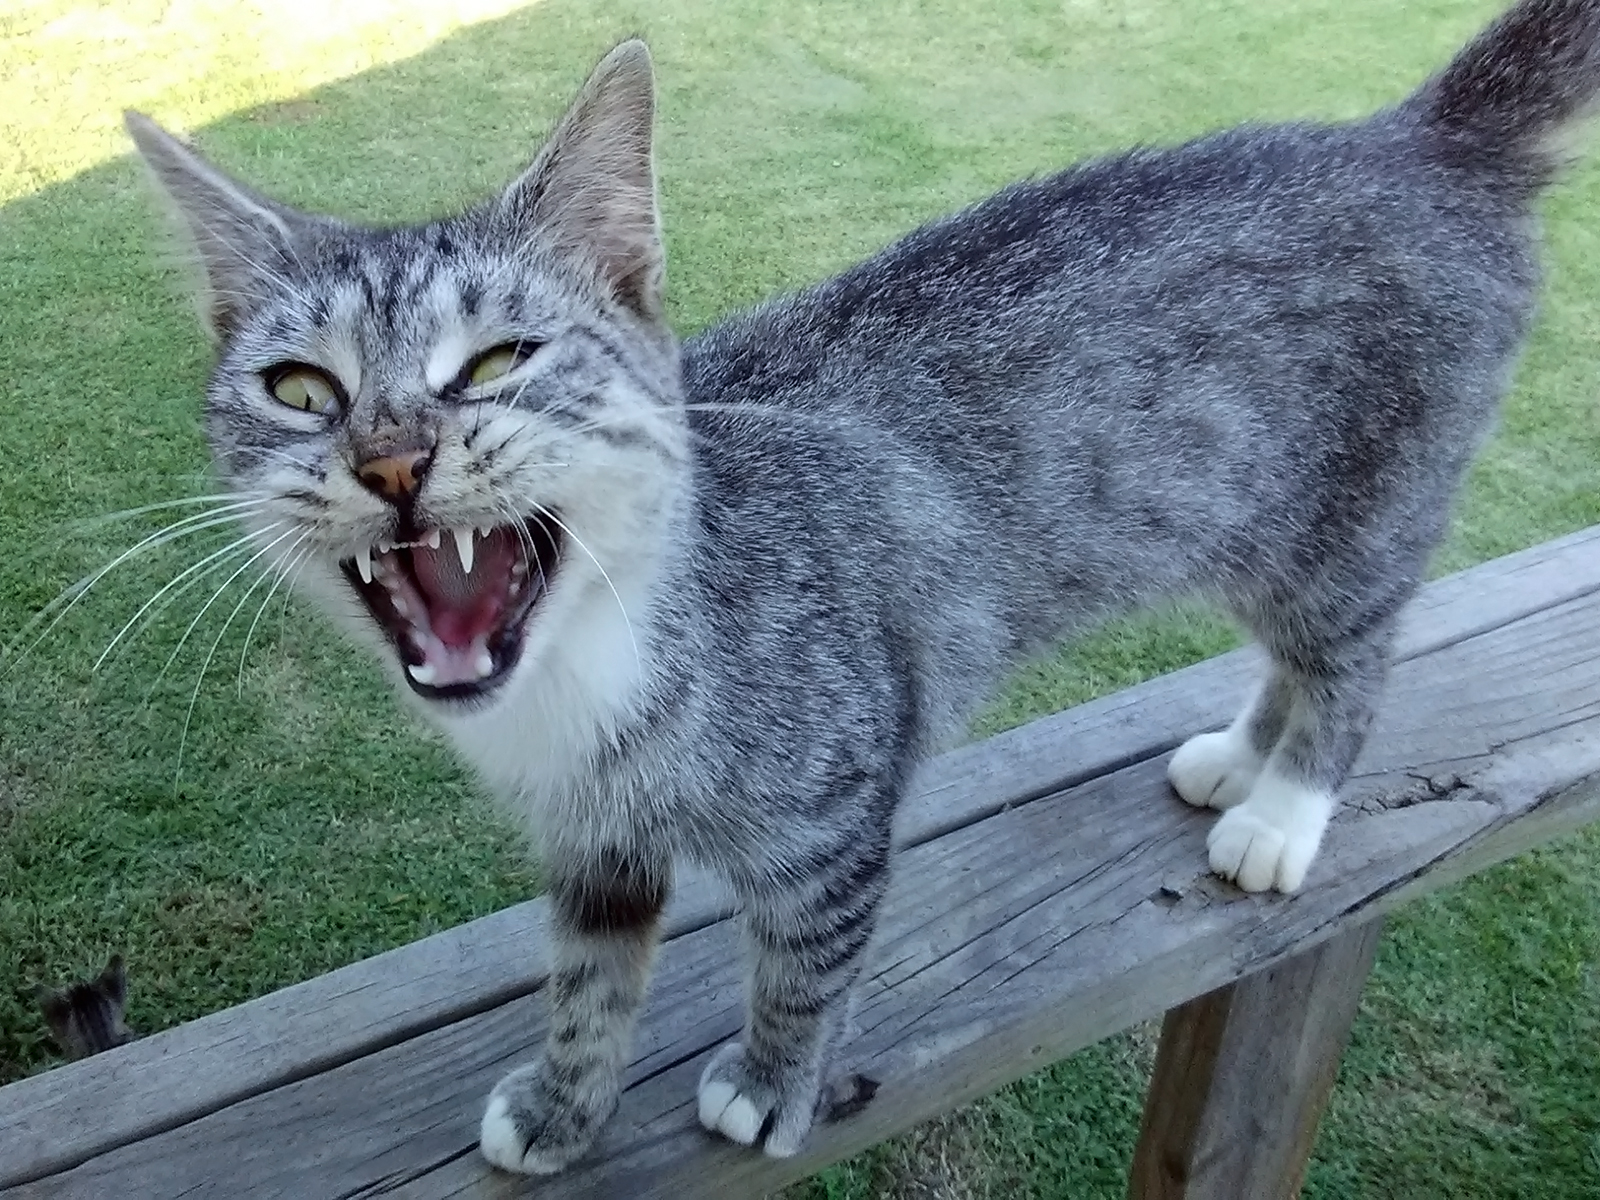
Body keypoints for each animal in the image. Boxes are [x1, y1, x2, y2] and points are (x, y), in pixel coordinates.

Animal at [121, 0, 1600, 1177]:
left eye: (493, 364)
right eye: (299, 389)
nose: (388, 456)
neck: (597, 661)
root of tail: (1412, 140)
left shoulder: (840, 789)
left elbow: (807, 955)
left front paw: (771, 1082)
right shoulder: (593, 839)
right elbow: (589, 972)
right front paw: (562, 1102)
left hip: (1354, 512)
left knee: (1347, 657)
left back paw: (1284, 808)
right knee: (1292, 653)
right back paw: (1237, 757)